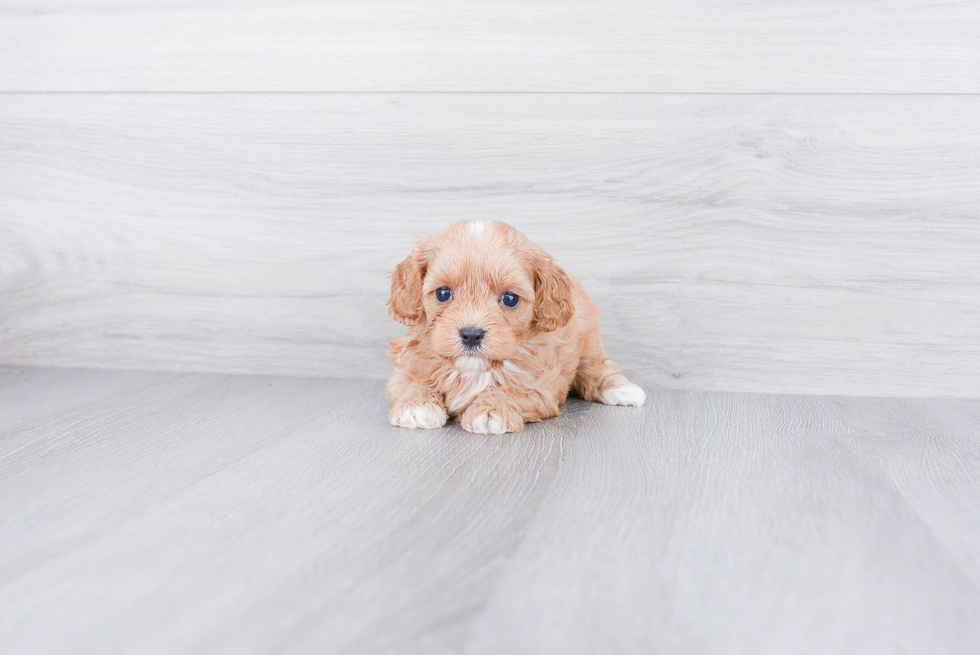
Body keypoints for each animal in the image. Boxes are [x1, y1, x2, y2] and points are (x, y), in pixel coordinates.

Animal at [386, 222, 648, 436]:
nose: (471, 334)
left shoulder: (539, 386)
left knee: (597, 367)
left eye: (510, 299)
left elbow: (511, 390)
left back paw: (621, 389)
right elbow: (411, 381)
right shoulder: (407, 363)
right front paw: (417, 406)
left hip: (589, 340)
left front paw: (490, 411)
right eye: (443, 293)